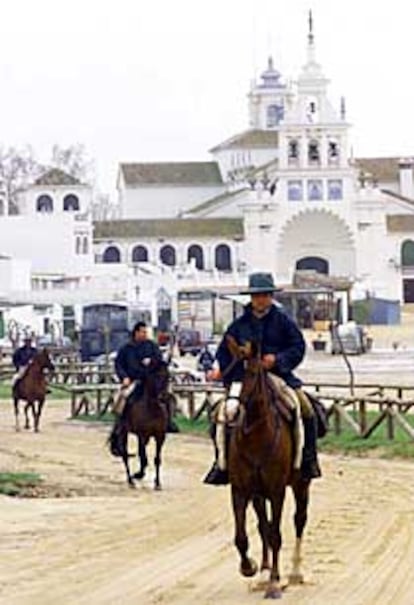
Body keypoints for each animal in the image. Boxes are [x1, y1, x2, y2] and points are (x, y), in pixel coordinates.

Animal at [109, 360, 171, 488]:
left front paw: (157, 483)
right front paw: (139, 475)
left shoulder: (160, 436)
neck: (152, 409)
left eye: (168, 376)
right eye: (155, 376)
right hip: (124, 433)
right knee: (125, 455)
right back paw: (130, 480)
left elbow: (157, 459)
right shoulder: (142, 435)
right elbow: (143, 457)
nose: (163, 397)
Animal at [226, 338, 310, 596]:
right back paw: (264, 572)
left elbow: (276, 534)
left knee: (299, 520)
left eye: (251, 373)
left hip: (301, 485)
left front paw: (274, 583)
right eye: (226, 372)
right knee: (263, 525)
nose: (231, 413)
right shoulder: (241, 490)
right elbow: (242, 536)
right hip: (258, 494)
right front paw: (250, 567)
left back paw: (294, 572)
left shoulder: (276, 490)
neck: (257, 437)